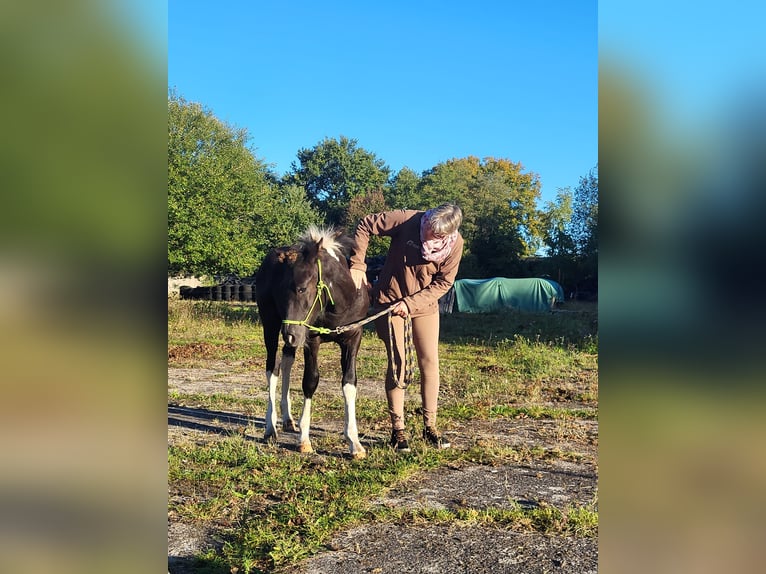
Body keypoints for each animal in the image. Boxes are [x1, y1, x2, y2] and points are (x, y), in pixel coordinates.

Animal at [255, 226, 371, 458]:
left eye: (301, 288)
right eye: (281, 290)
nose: (290, 333)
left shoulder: (354, 337)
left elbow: (349, 382)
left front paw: (354, 442)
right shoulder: (311, 339)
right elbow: (310, 381)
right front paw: (305, 440)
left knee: (286, 361)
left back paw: (288, 419)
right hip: (272, 327)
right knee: (272, 369)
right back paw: (271, 427)